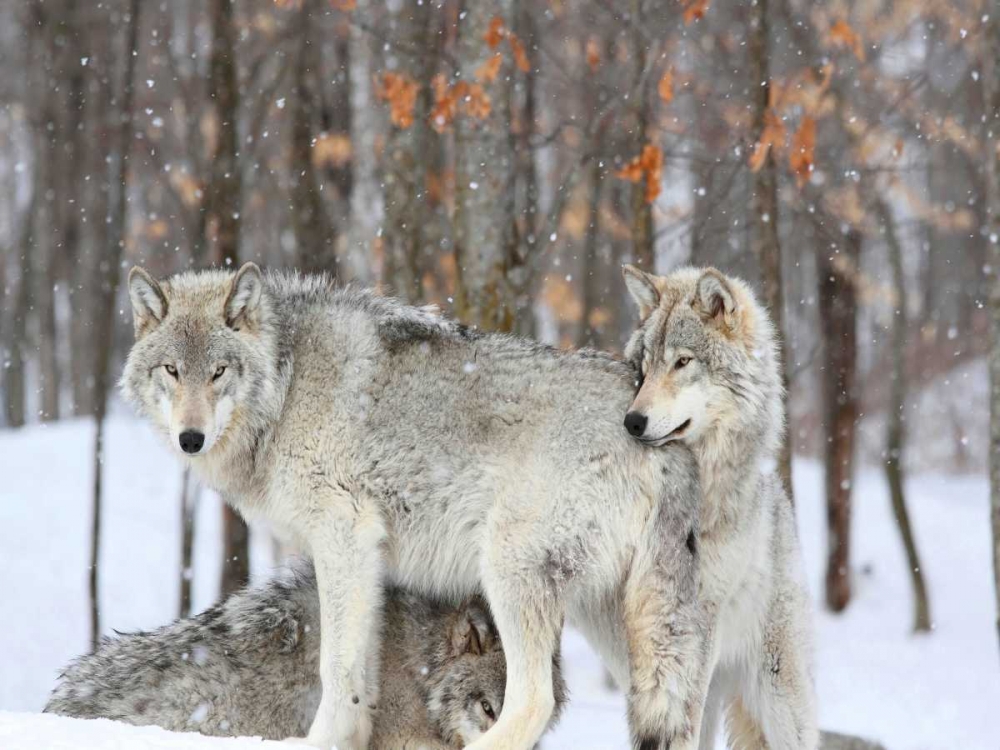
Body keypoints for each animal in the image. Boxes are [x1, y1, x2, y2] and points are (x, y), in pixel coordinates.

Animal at [120, 264, 707, 750]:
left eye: (219, 371)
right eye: (171, 370)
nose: (190, 438)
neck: (287, 386)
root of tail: (658, 434)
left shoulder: (344, 535)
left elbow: (336, 669)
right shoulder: (362, 561)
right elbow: (362, 672)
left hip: (510, 571)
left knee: (534, 701)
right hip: (619, 621)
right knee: (679, 715)